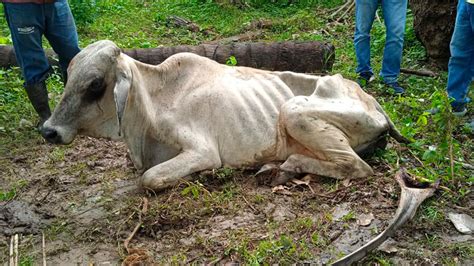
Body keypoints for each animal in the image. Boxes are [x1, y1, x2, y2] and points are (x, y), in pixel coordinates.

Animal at [40, 40, 408, 191]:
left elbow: (149, 179)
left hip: (292, 111)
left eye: (95, 84)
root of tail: (374, 103)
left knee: (356, 167)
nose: (49, 131)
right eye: (67, 76)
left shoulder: (202, 151)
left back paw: (287, 166)